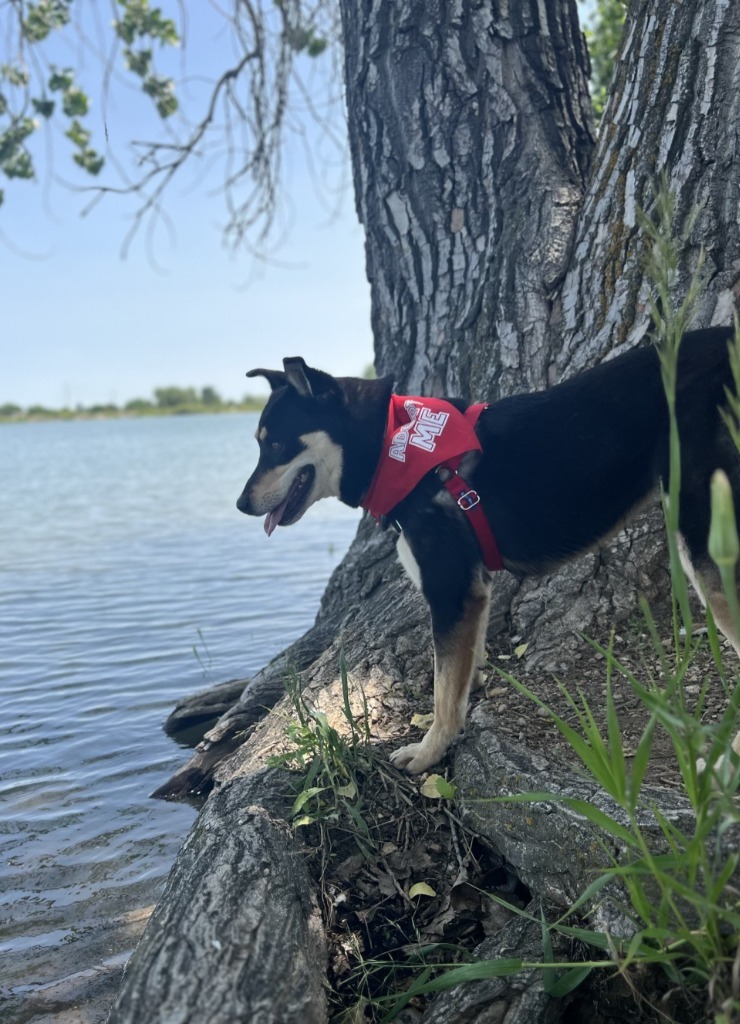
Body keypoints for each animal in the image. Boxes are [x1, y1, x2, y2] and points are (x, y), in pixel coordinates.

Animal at [235, 331, 740, 770]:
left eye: (276, 444)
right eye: (261, 444)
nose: (241, 504)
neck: (393, 446)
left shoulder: (450, 592)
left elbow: (442, 693)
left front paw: (428, 752)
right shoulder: (475, 593)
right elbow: (460, 673)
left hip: (709, 550)